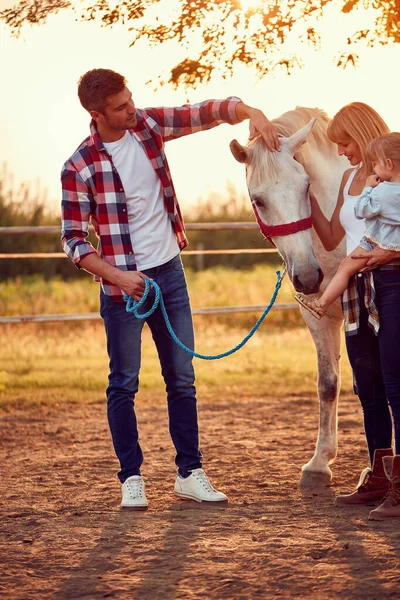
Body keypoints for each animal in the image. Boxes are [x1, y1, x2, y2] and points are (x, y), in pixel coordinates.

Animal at [230, 106, 348, 488]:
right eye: (258, 200)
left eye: (306, 186)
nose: (308, 277)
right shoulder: (317, 314)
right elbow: (328, 384)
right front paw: (320, 462)